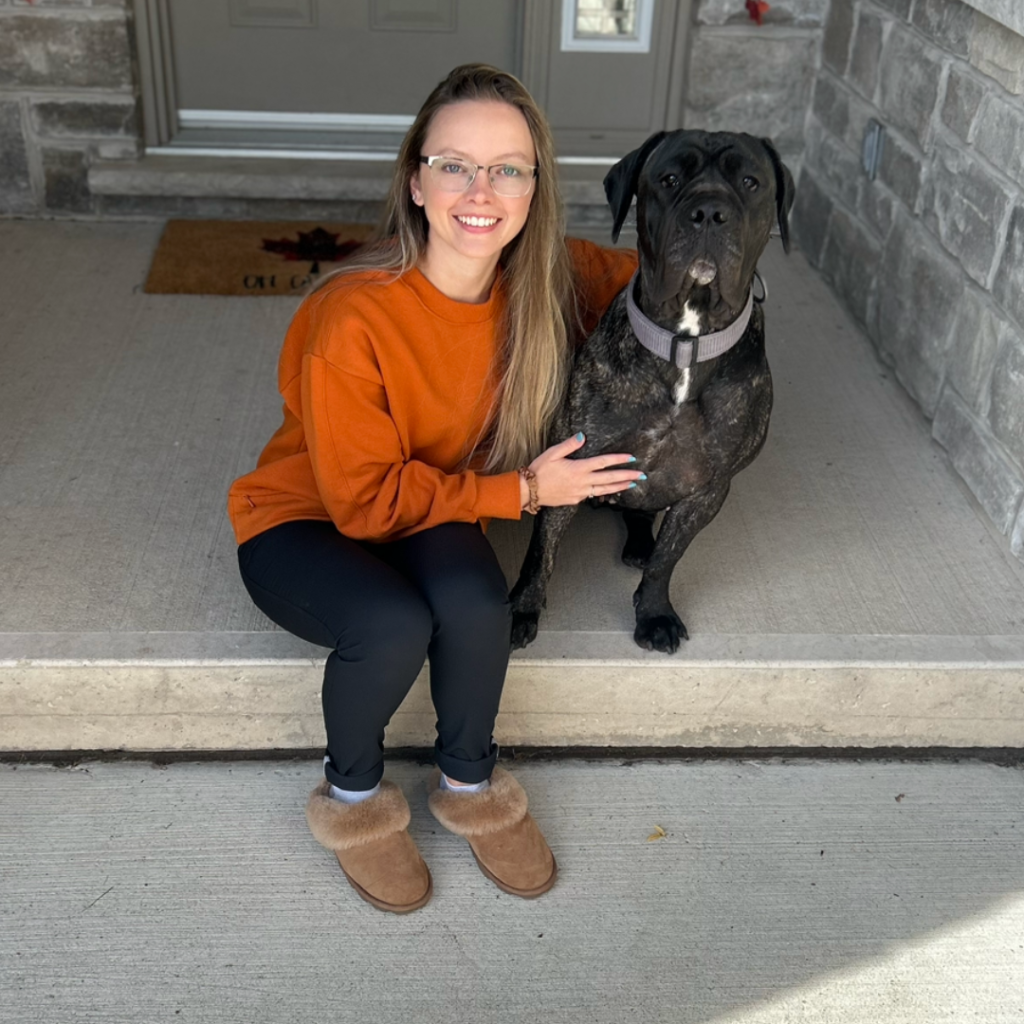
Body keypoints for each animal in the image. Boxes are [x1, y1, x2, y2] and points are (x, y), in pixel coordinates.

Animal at [509, 130, 790, 655]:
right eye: (669, 178)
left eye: (750, 182)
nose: (709, 211)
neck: (686, 341)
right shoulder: (571, 465)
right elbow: (542, 551)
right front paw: (521, 608)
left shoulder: (708, 488)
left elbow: (668, 557)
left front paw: (654, 612)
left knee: (643, 518)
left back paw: (640, 545)